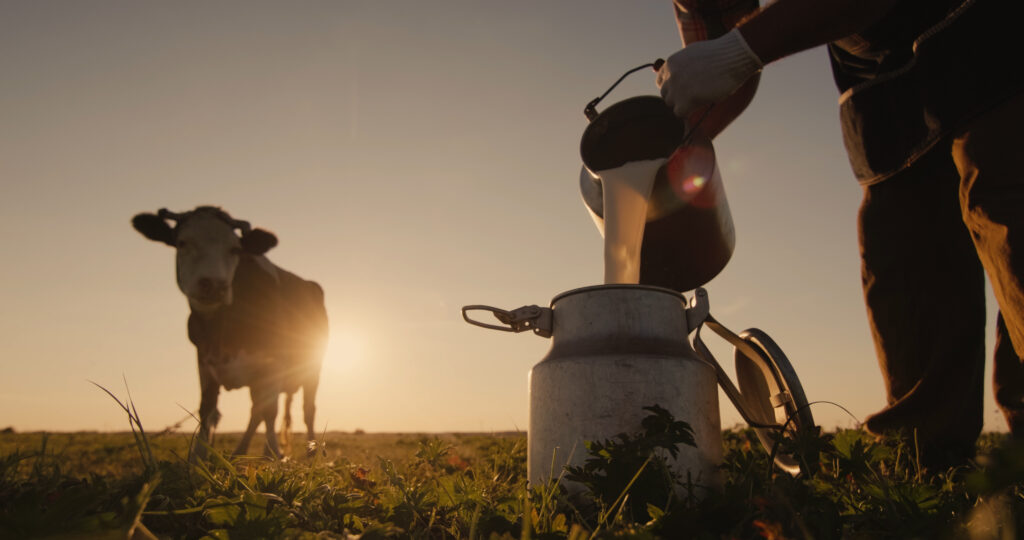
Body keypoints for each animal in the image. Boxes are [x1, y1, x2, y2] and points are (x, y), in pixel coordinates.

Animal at [130, 206, 325, 461]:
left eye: (235, 249)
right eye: (182, 243)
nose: (214, 284)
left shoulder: (274, 361)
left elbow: (270, 411)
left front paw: (274, 454)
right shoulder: (204, 360)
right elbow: (207, 408)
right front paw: (199, 456)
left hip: (313, 367)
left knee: (306, 409)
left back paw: (307, 453)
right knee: (256, 411)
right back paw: (241, 452)